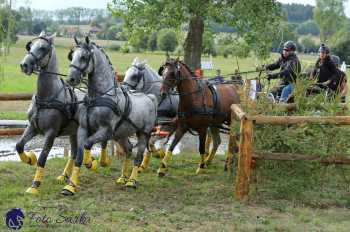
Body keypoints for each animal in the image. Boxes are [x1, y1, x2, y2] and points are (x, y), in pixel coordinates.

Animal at [17, 32, 109, 194]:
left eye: (43, 48)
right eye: (30, 46)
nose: (24, 65)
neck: (46, 97)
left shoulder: (51, 132)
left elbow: (43, 157)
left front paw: (35, 185)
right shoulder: (32, 127)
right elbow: (19, 146)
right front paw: (29, 159)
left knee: (99, 143)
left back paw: (97, 162)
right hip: (73, 132)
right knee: (74, 153)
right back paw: (64, 175)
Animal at [62, 37, 157, 196]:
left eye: (84, 57)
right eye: (72, 55)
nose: (71, 79)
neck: (99, 97)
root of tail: (150, 97)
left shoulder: (105, 131)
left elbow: (87, 144)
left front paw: (91, 163)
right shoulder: (83, 129)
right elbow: (79, 156)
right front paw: (70, 186)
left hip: (143, 134)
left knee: (138, 157)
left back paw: (131, 181)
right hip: (121, 135)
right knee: (128, 150)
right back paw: (123, 178)